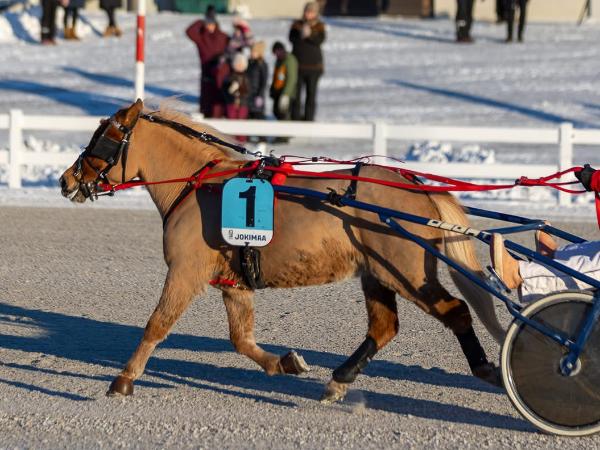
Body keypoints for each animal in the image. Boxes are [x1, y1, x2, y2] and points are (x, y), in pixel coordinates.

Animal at [59, 100, 505, 403]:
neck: (199, 186)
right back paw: (339, 379)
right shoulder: (233, 282)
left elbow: (157, 324)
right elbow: (241, 339)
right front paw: (285, 363)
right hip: (376, 273)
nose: (67, 180)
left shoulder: (185, 271)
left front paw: (124, 378)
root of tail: (416, 186)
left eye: (103, 139)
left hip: (405, 271)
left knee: (456, 311)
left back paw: (487, 368)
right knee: (384, 328)